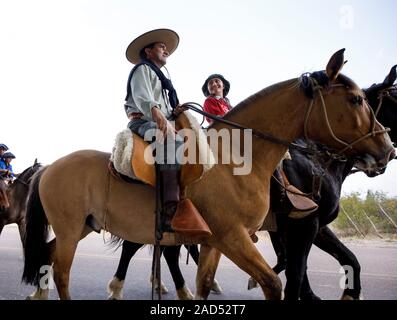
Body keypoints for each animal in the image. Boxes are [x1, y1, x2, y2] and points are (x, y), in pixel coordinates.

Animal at [21, 48, 392, 298]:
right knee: (62, 273)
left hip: (82, 227)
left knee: (48, 259)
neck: (237, 159)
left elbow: (205, 284)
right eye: (357, 100)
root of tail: (50, 167)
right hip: (71, 229)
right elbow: (277, 282)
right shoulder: (237, 236)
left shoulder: (216, 242)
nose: (387, 149)